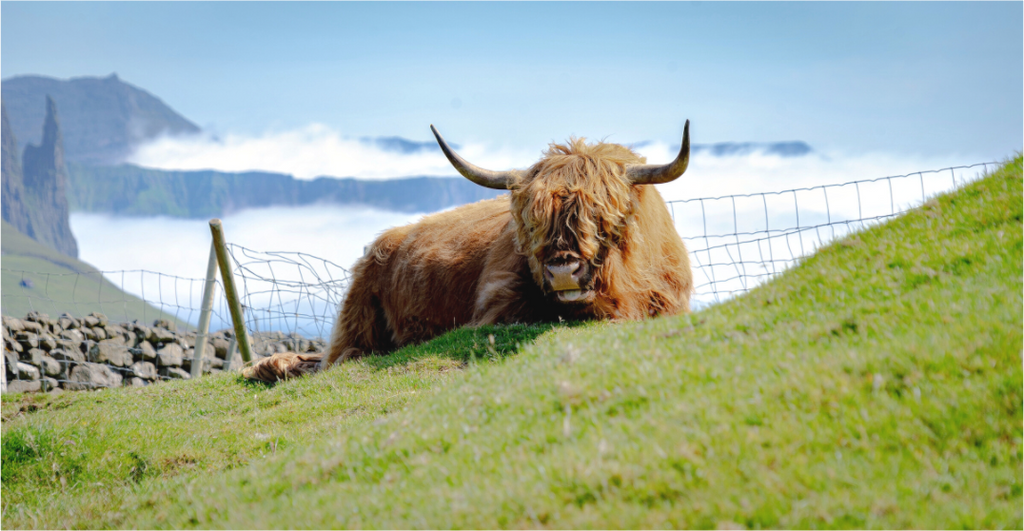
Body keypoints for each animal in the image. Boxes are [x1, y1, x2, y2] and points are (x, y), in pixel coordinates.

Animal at [243, 121, 694, 382]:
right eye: (531, 222)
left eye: (602, 218)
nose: (563, 270)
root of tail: (386, 239)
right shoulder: (495, 308)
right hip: (357, 316)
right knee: (339, 356)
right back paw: (267, 367)